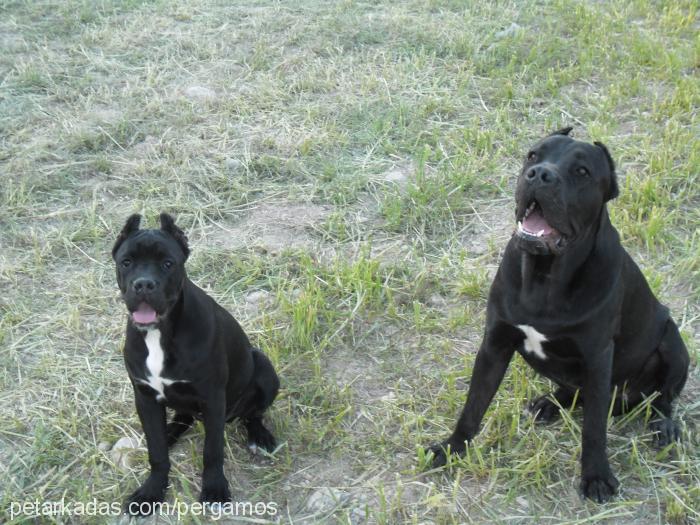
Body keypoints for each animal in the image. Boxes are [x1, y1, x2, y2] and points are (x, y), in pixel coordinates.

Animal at [112, 212, 278, 512]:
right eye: (126, 262)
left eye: (168, 264)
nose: (143, 284)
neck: (160, 333)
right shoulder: (144, 397)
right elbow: (157, 453)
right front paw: (151, 491)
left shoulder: (212, 398)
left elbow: (212, 451)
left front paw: (214, 489)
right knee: (182, 417)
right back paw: (169, 432)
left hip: (263, 368)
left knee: (253, 413)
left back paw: (260, 436)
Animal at [426, 129, 688, 502]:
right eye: (533, 156)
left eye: (582, 172)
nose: (539, 175)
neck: (544, 276)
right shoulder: (494, 345)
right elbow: (473, 406)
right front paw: (451, 448)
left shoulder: (597, 357)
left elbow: (594, 429)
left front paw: (596, 477)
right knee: (574, 391)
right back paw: (550, 403)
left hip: (672, 341)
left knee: (663, 398)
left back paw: (664, 426)